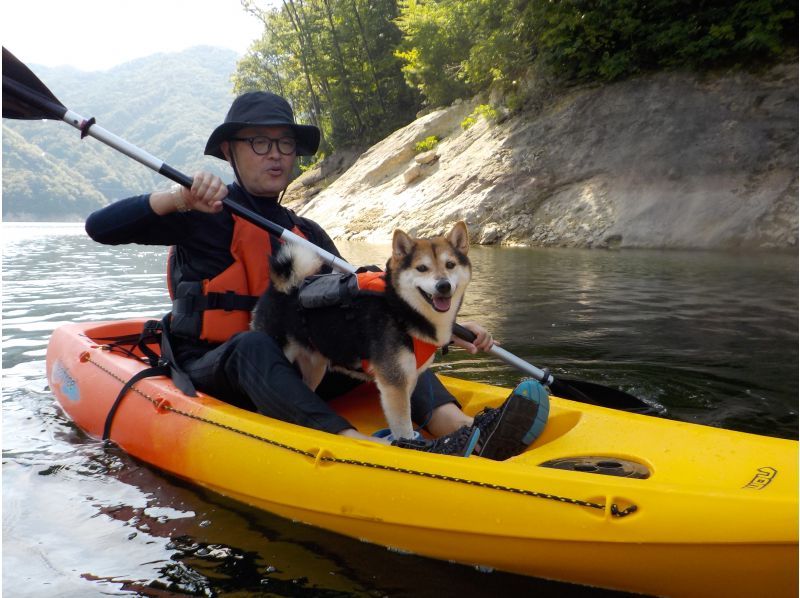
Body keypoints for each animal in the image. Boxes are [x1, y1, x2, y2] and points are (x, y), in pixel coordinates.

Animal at [253, 223, 472, 442]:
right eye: (422, 268)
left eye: (450, 264)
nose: (443, 285)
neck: (401, 310)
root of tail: (281, 288)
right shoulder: (394, 383)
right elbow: (404, 429)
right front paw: (407, 444)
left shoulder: (407, 379)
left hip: (315, 365)